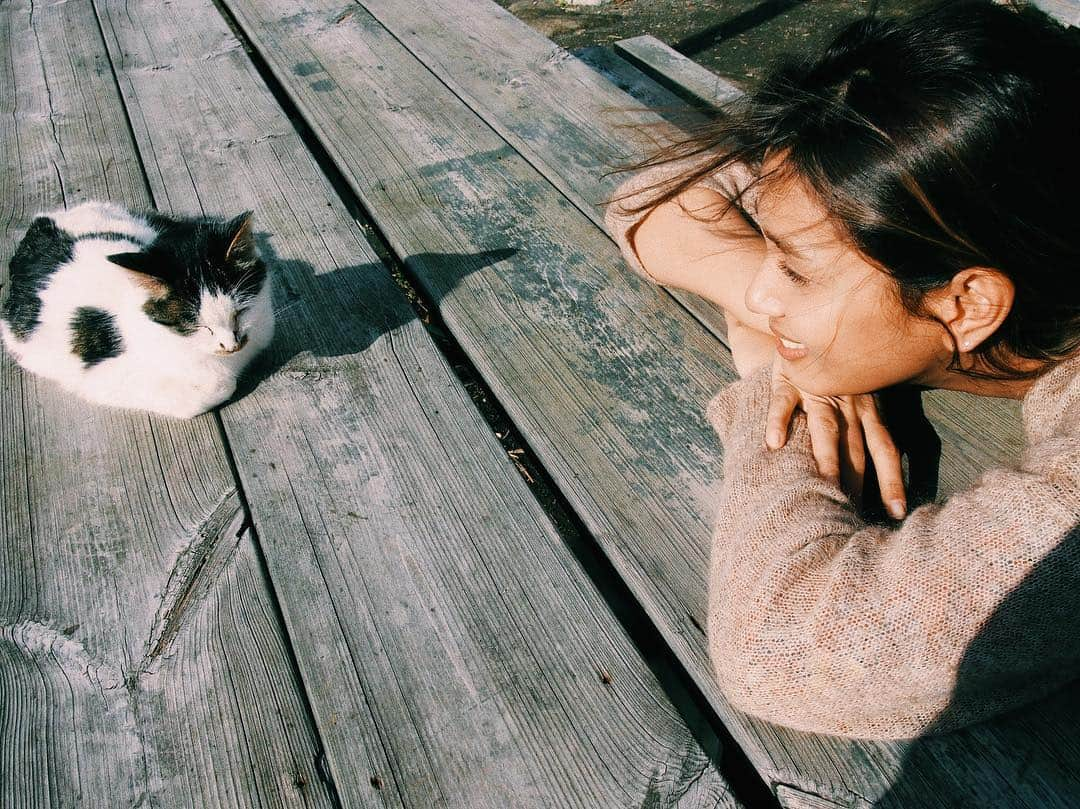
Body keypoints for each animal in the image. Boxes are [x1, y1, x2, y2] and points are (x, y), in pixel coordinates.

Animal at [0, 200, 274, 416]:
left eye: (241, 311)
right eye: (196, 325)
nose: (230, 345)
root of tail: (40, 222)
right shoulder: (100, 375)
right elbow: (217, 387)